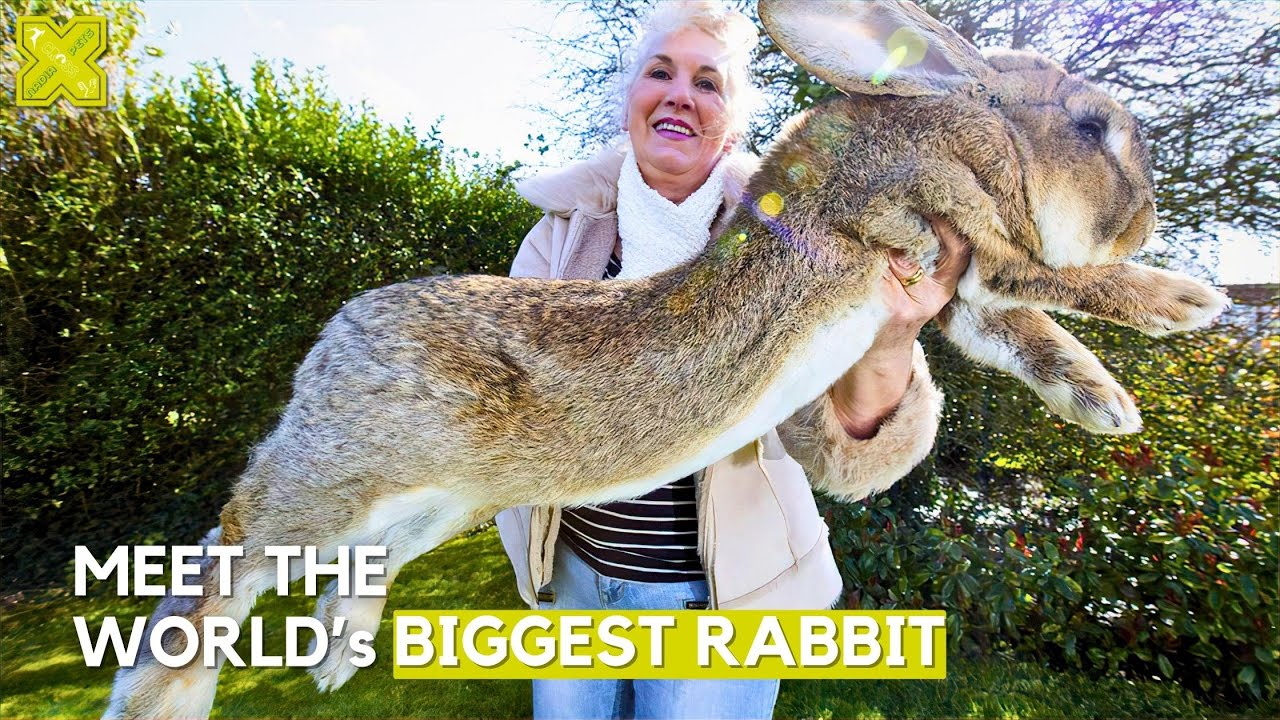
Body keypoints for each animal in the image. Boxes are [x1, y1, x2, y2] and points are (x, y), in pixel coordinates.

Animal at [105, 0, 1229, 717]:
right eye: (1091, 127)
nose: (1145, 221)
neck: (960, 122)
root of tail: (335, 338)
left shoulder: (960, 290)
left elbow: (1024, 331)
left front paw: (1104, 405)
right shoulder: (951, 226)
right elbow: (1055, 283)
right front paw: (1184, 301)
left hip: (424, 506)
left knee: (351, 564)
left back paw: (336, 661)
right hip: (339, 476)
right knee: (227, 553)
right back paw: (163, 697)